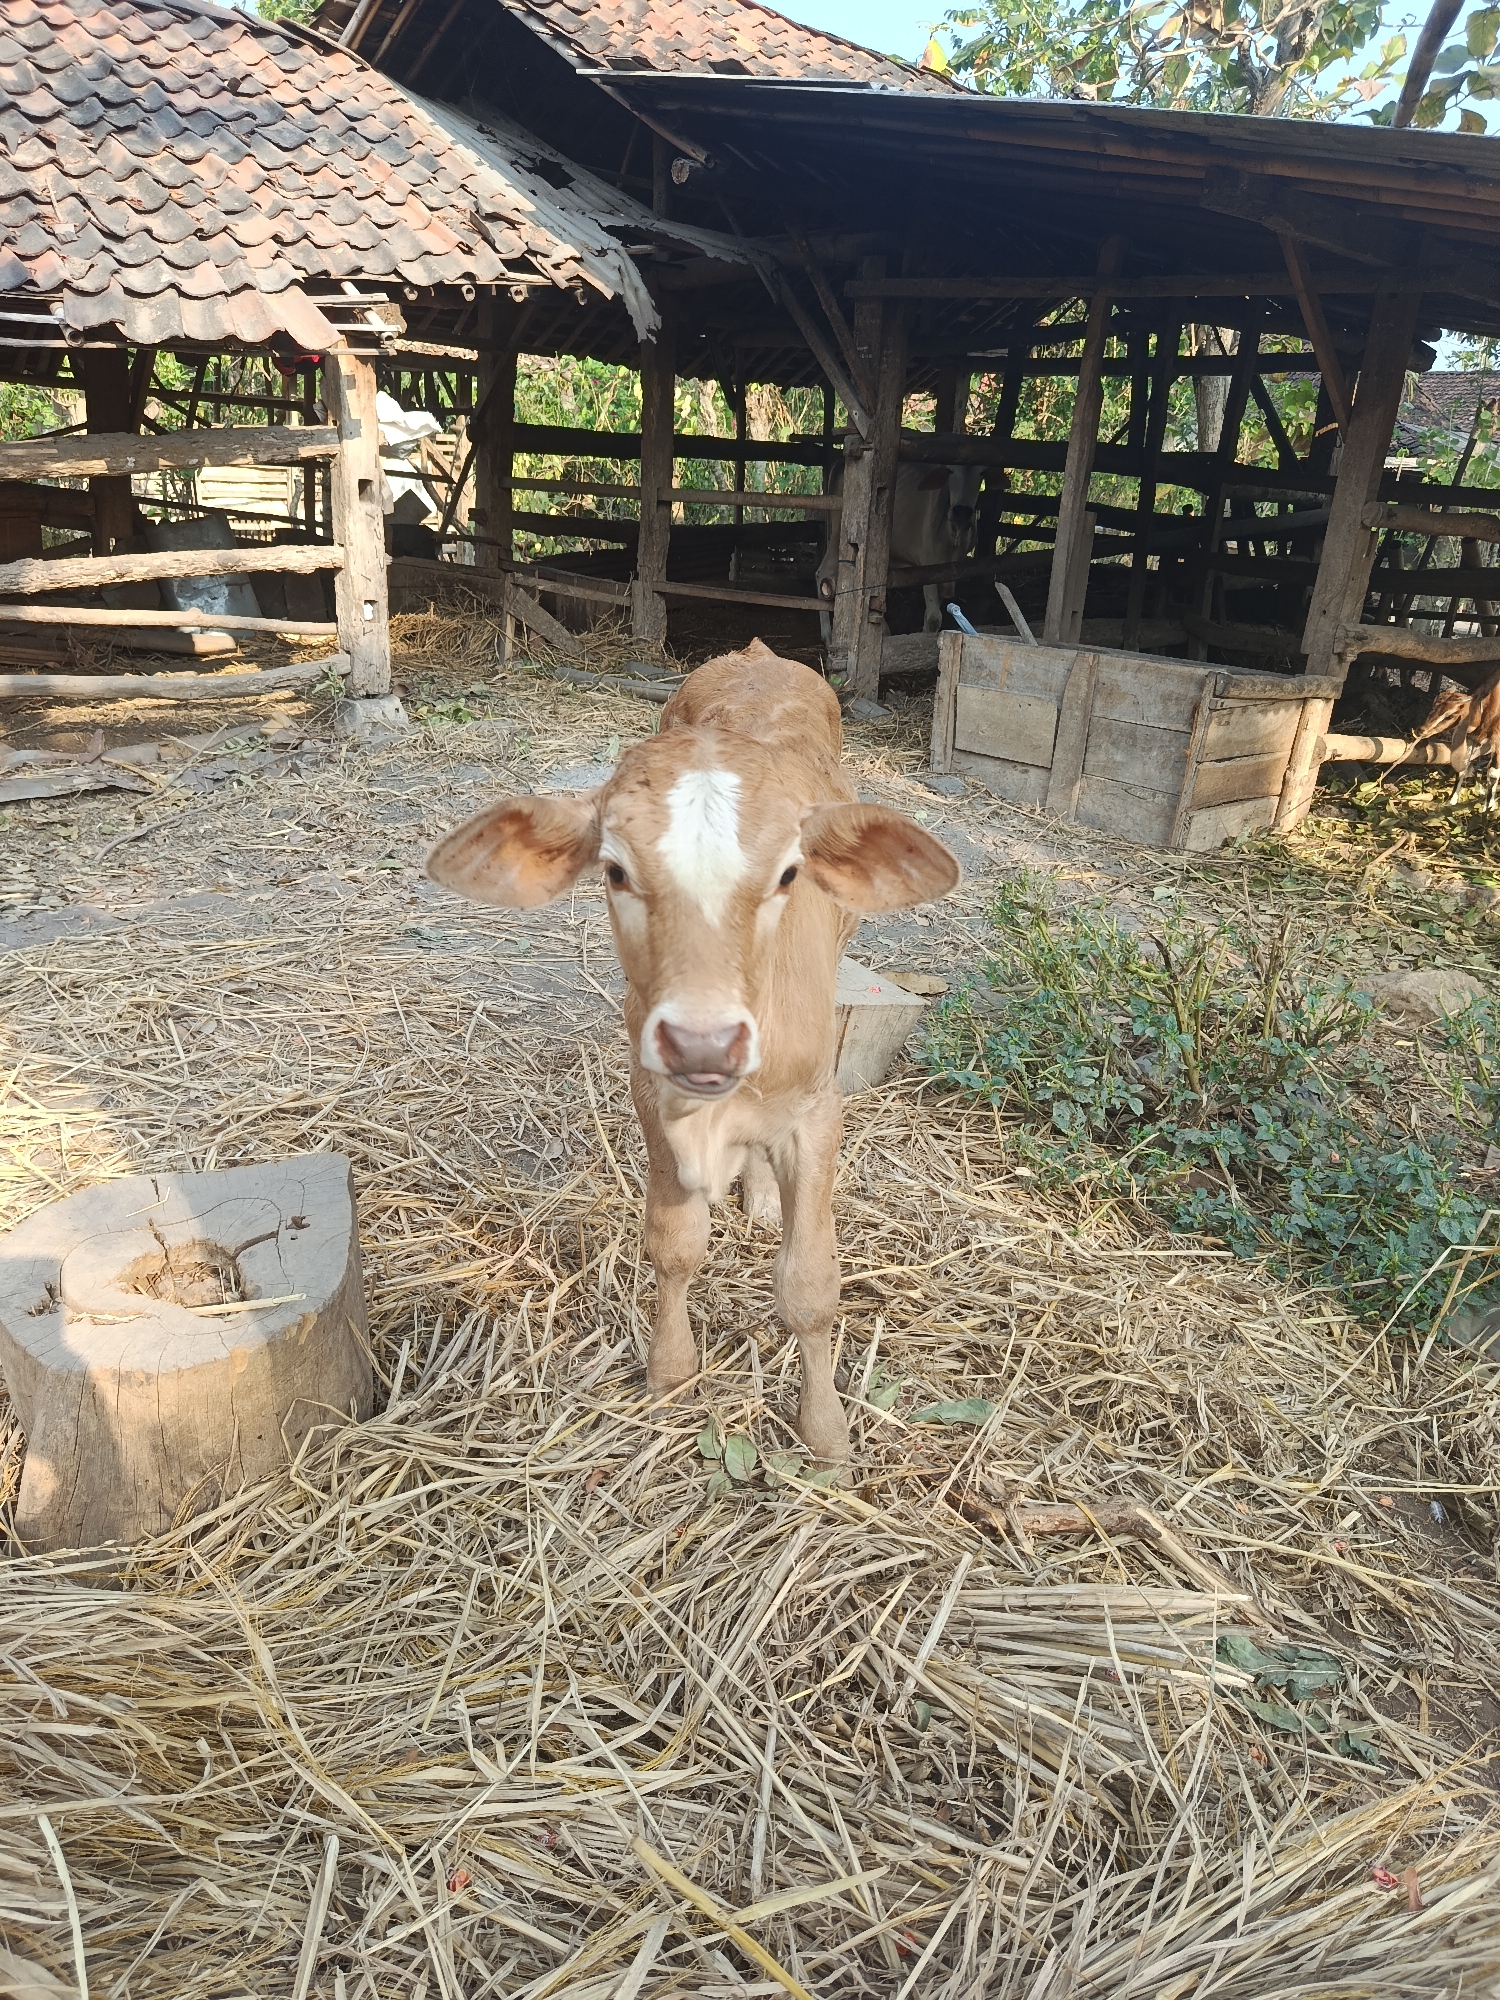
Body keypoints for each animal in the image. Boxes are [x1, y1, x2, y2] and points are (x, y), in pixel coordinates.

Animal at [426, 640, 959, 1461]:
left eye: (789, 873)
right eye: (615, 871)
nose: (704, 1041)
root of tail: (759, 654)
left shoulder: (817, 1108)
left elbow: (810, 1287)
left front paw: (825, 1431)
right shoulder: (653, 1089)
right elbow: (674, 1243)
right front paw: (671, 1369)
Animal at [817, 459, 986, 640]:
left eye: (982, 473)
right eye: (950, 471)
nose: (961, 513)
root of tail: (841, 463)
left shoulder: (947, 570)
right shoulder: (928, 565)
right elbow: (934, 617)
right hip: (838, 536)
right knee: (824, 573)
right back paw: (827, 634)